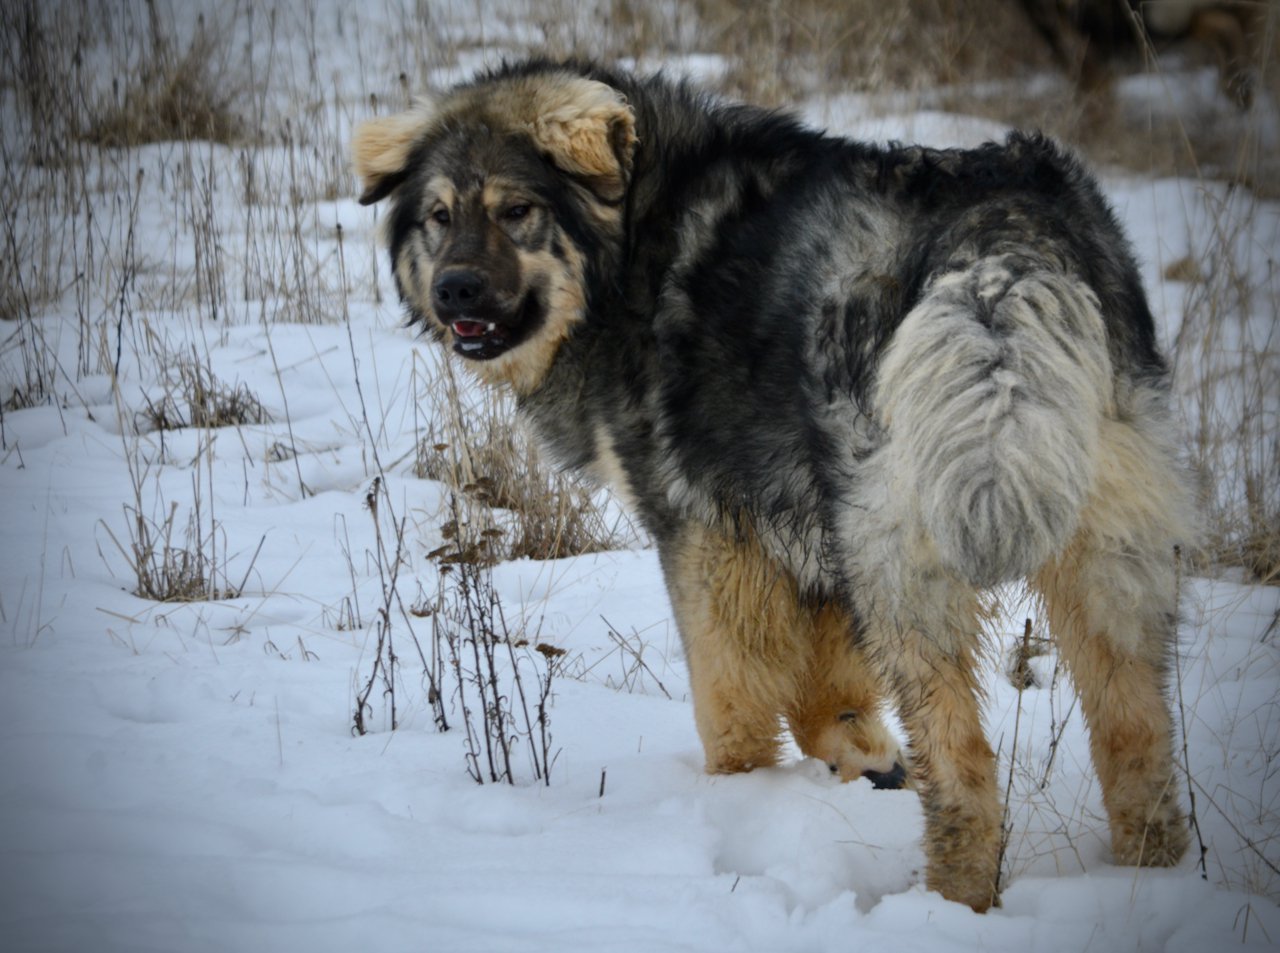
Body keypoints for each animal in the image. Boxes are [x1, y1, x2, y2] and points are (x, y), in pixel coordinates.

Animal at [348, 57, 1187, 905]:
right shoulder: (809, 537)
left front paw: (738, 799)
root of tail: (1002, 223)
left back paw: (953, 898)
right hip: (1101, 561)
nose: (454, 289)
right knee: (1135, 734)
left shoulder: (704, 533)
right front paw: (866, 759)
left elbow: (731, 703)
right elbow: (825, 699)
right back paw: (1150, 882)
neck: (632, 238)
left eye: (517, 211)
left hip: (903, 570)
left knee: (968, 766)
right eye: (439, 217)